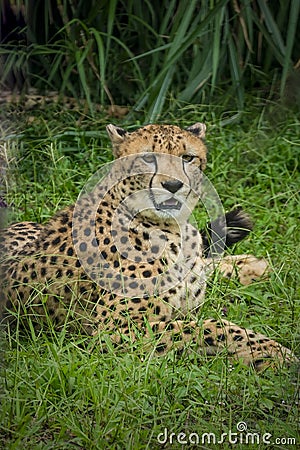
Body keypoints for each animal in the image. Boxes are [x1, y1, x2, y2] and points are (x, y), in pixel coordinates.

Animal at [0, 122, 296, 370]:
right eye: (148, 157)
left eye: (187, 158)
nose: (173, 185)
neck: (172, 229)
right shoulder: (112, 332)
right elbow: (208, 326)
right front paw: (271, 351)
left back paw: (251, 266)